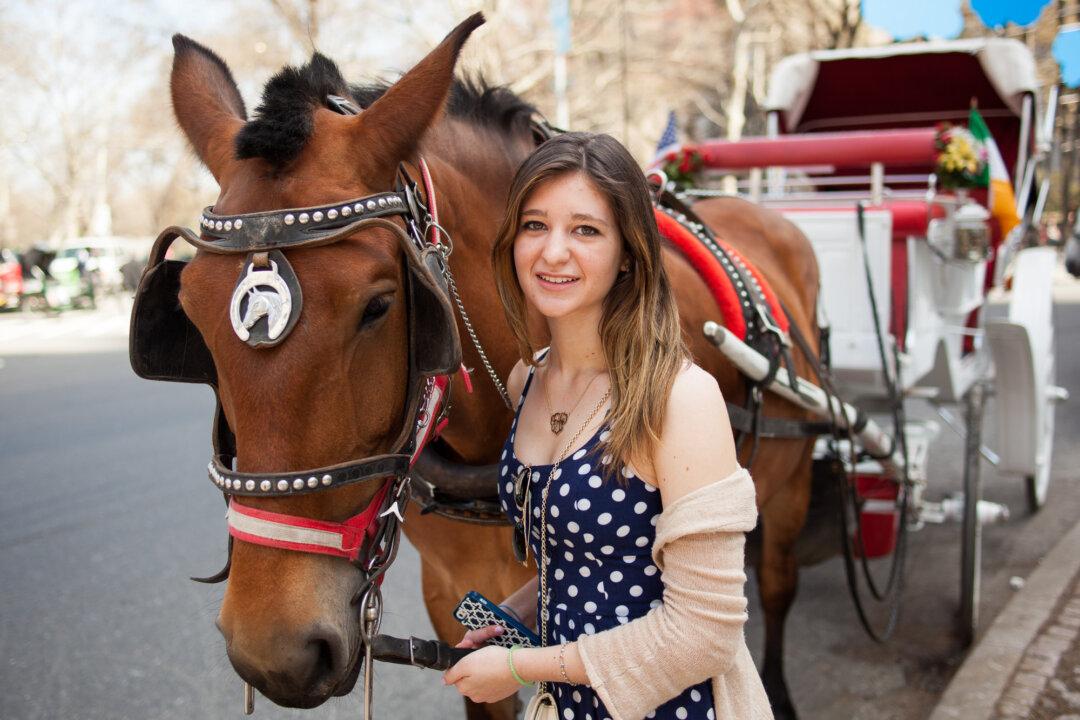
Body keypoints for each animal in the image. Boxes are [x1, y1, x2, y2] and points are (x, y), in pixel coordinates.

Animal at [159, 13, 818, 720]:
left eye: (379, 305)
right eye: (189, 312)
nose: (274, 653)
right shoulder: (455, 597)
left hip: (791, 480)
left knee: (775, 584)